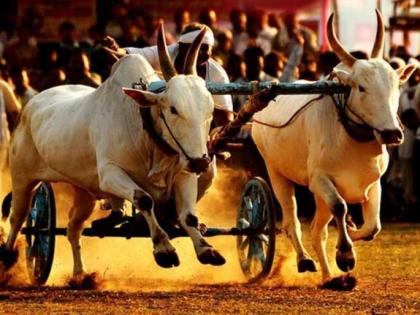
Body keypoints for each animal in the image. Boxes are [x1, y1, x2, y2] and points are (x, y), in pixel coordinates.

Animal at [251, 11, 416, 290]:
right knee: (292, 222)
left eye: (396, 86)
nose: (392, 133)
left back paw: (329, 278)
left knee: (318, 232)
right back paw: (305, 260)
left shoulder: (373, 183)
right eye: (361, 87)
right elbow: (341, 207)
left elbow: (372, 227)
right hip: (276, 174)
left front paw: (350, 235)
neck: (352, 140)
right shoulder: (319, 179)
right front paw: (346, 254)